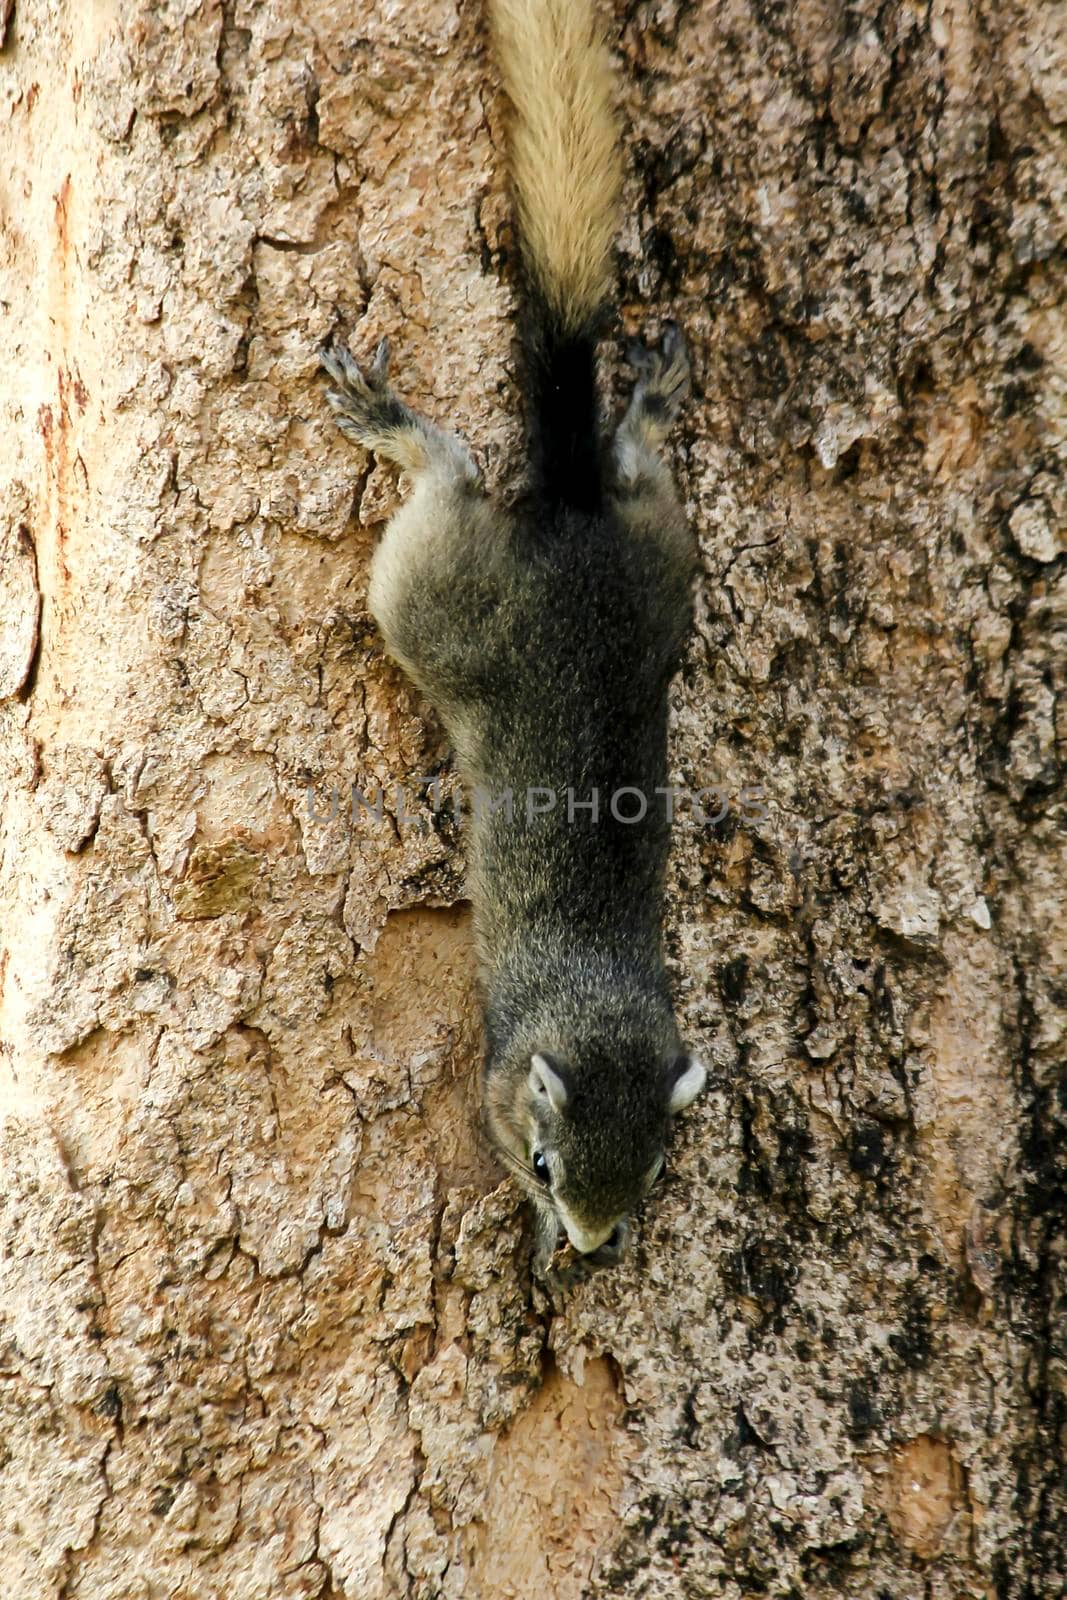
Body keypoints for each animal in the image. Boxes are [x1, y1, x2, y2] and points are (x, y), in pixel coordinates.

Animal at [326, 0, 710, 1273]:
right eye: (543, 1163)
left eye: (653, 1169)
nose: (591, 1245)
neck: (591, 998)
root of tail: (573, 512)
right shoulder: (492, 1080)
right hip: (434, 598)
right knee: (448, 482)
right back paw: (403, 427)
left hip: (662, 563)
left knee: (626, 469)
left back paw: (645, 407)